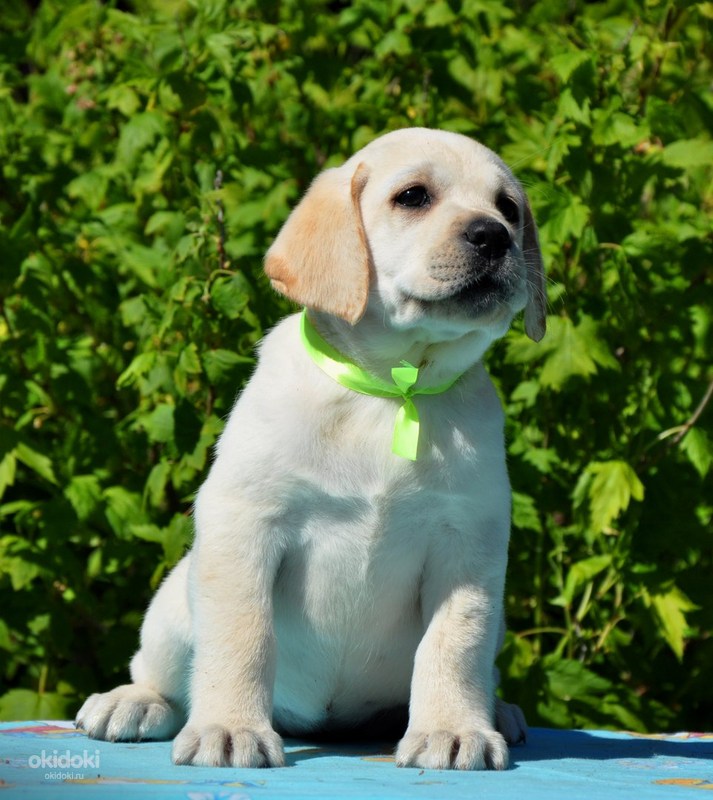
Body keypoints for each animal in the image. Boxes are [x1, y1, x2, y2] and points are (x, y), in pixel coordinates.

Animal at [76, 128, 544, 772]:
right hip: (173, 603)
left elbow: (455, 643)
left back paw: (496, 711)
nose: (493, 235)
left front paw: (452, 730)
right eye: (413, 196)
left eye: (509, 209)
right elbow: (242, 636)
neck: (390, 387)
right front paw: (230, 728)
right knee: (163, 673)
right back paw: (134, 703)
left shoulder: (468, 544)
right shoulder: (247, 522)